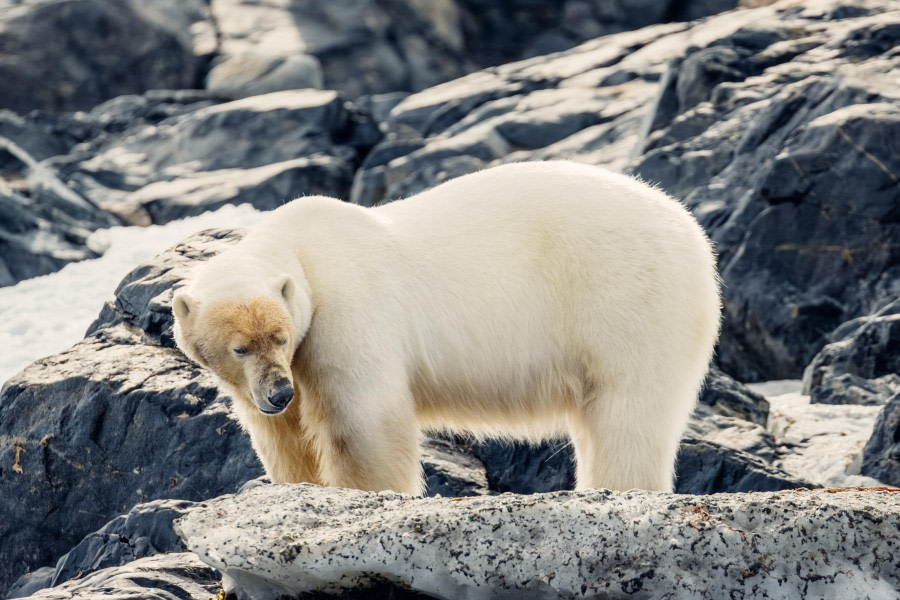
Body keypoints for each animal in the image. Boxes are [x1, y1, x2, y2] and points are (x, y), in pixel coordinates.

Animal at [174, 159, 724, 492]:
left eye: (280, 336)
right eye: (240, 348)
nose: (279, 392)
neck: (304, 249)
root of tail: (692, 235)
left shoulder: (348, 312)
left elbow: (363, 422)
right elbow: (283, 439)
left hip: (626, 302)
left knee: (628, 415)